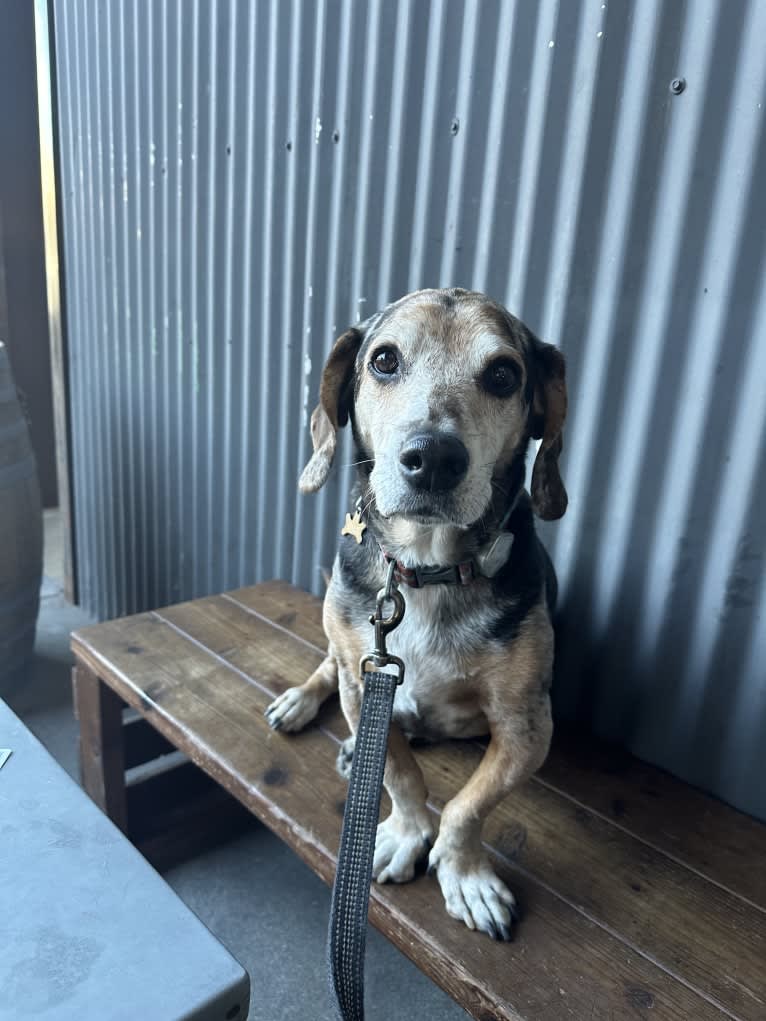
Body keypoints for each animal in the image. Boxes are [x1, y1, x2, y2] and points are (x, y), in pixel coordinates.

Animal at [267, 287, 567, 939]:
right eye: (384, 360)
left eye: (503, 374)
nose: (432, 457)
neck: (426, 568)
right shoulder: (364, 680)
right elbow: (402, 778)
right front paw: (405, 833)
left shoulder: (527, 726)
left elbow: (467, 805)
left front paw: (466, 874)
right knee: (328, 666)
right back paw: (305, 705)